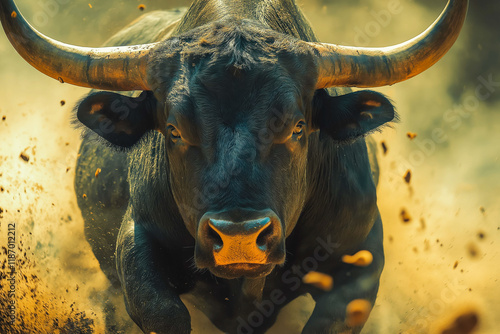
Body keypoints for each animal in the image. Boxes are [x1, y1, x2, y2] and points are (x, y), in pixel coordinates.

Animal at [0, 0, 468, 332]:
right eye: (173, 129)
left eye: (298, 127)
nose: (239, 238)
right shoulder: (137, 247)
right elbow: (163, 313)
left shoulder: (360, 257)